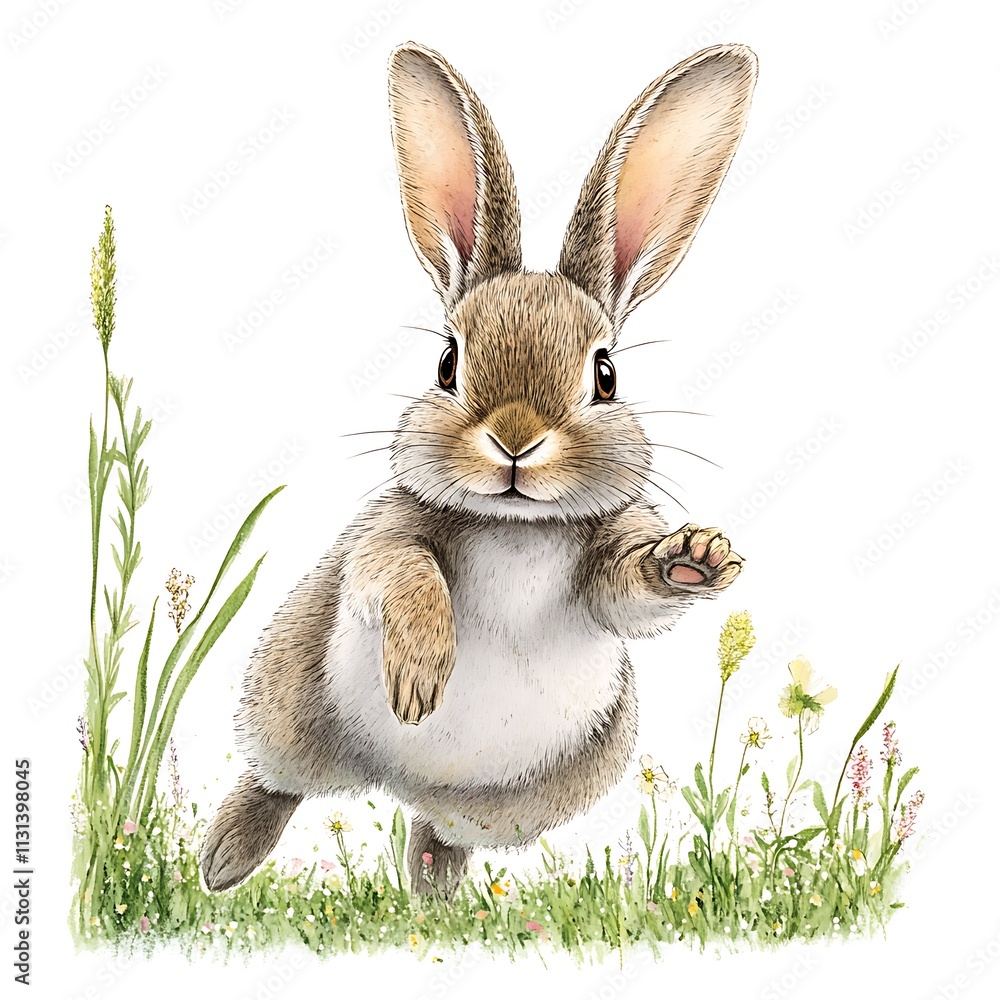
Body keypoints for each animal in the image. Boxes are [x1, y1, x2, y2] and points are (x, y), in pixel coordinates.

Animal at [200, 40, 756, 896]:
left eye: (606, 376)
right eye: (446, 363)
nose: (516, 441)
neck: (516, 525)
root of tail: (399, 780)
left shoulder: (607, 558)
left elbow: (633, 592)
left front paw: (696, 559)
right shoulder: (383, 538)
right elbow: (401, 571)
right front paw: (422, 677)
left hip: (520, 799)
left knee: (439, 834)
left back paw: (431, 897)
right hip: (288, 701)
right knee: (280, 782)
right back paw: (223, 861)